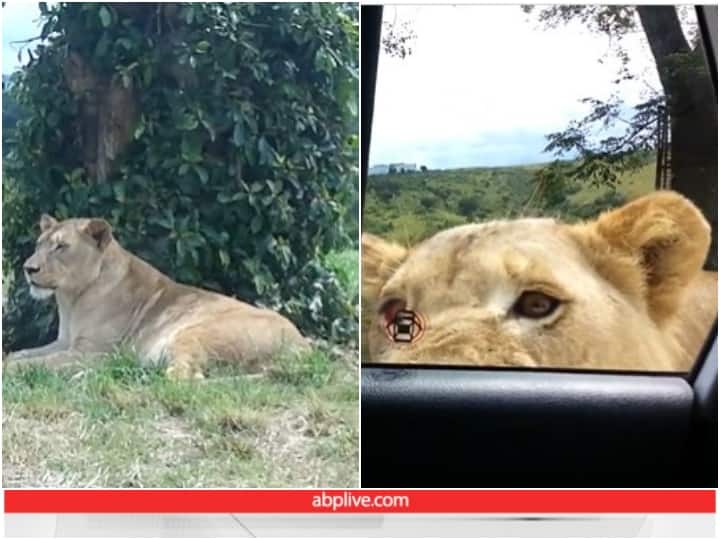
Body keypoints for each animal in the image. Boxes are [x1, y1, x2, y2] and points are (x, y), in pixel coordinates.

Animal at [5, 214, 308, 379]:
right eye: (39, 245)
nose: (28, 268)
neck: (70, 301)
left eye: (61, 247)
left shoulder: (90, 351)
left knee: (183, 380)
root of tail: (302, 344)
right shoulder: (64, 343)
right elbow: (19, 353)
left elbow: (35, 363)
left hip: (195, 332)